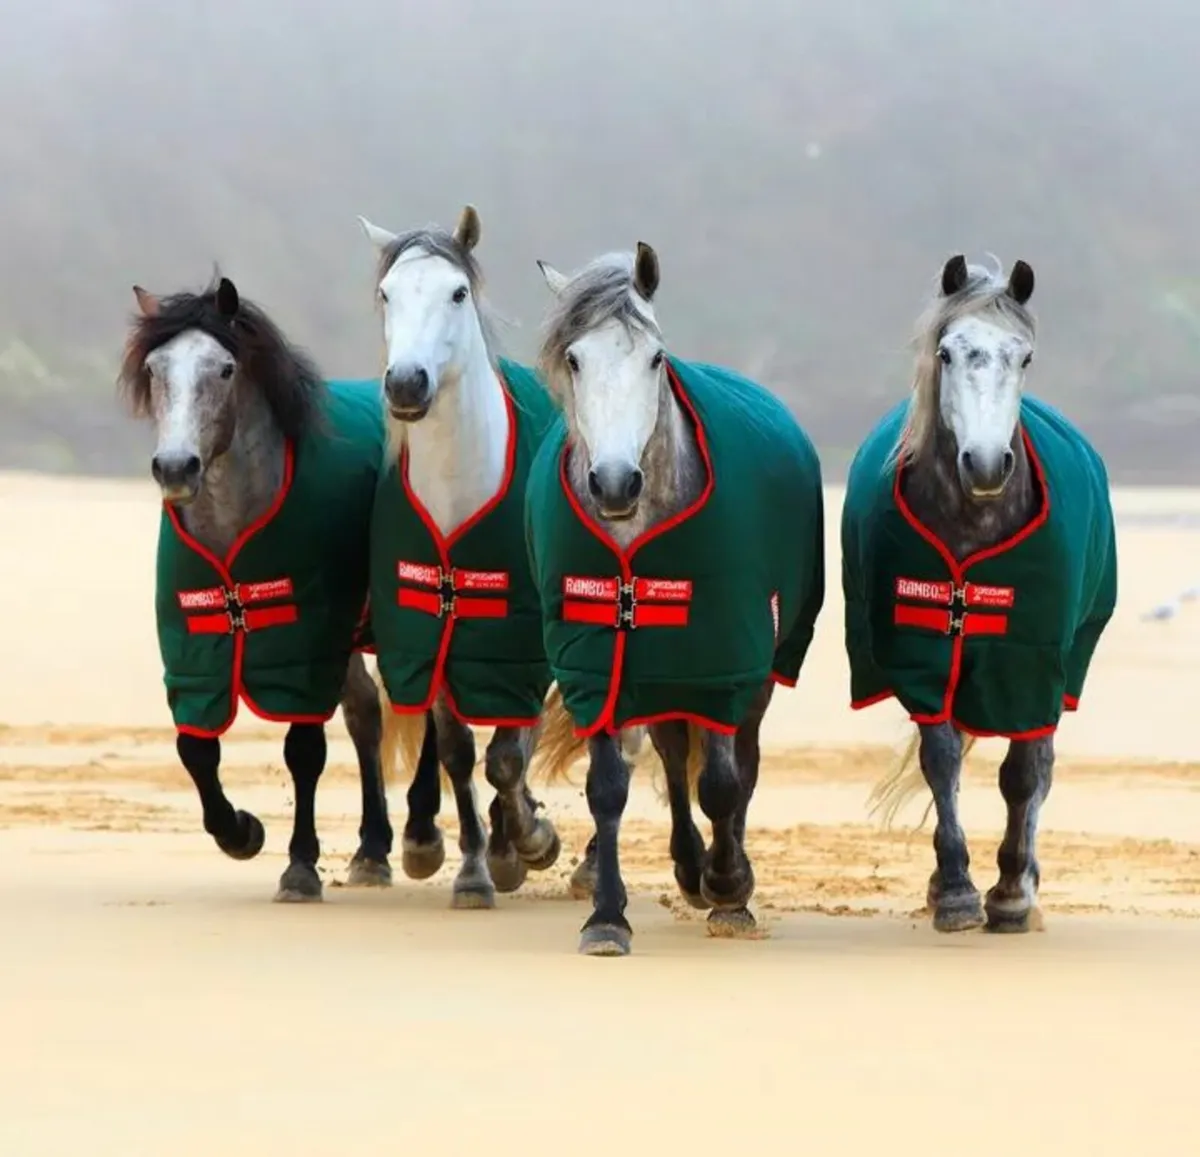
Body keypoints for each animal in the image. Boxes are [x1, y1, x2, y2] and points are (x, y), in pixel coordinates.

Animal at [118, 275, 442, 901]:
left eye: (223, 369)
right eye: (153, 368)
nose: (176, 468)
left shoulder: (307, 644)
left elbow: (304, 750)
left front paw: (299, 866)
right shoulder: (194, 646)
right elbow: (195, 746)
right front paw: (241, 832)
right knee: (367, 714)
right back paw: (373, 850)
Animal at [356, 204, 568, 909]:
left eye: (457, 293)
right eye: (387, 294)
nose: (406, 382)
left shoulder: (521, 640)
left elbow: (508, 754)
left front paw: (529, 840)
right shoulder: (436, 628)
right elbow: (456, 748)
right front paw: (478, 868)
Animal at [526, 243, 826, 955]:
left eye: (654, 358)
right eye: (573, 359)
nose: (613, 483)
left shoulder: (724, 663)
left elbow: (721, 783)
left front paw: (729, 889)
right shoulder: (595, 668)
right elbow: (608, 788)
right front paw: (607, 918)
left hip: (752, 673)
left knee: (743, 764)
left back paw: (723, 875)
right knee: (668, 752)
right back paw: (690, 867)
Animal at [845, 255, 1118, 933]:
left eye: (1024, 356)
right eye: (947, 352)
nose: (988, 464)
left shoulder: (1034, 661)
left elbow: (1024, 773)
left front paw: (1012, 892)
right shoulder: (921, 656)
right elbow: (941, 759)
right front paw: (956, 889)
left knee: (1039, 767)